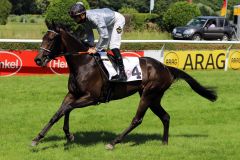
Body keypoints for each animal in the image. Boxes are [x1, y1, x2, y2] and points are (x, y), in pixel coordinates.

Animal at [32, 23, 218, 150]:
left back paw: (113, 142)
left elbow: (66, 109)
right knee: (165, 116)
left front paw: (66, 136)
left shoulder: (91, 98)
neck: (83, 63)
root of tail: (165, 67)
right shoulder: (72, 94)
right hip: (154, 97)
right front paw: (41, 137)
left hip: (148, 94)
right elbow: (60, 112)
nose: (38, 59)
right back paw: (164, 142)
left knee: (137, 119)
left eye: (51, 39)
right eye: (43, 38)